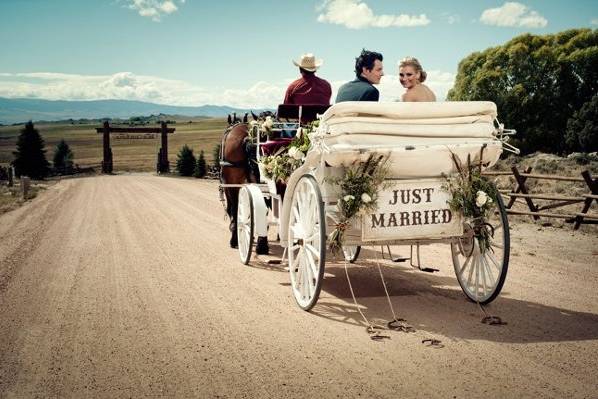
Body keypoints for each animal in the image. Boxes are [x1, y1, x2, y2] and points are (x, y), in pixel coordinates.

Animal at [220, 111, 270, 256]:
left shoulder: (228, 185)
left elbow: (232, 208)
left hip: (234, 184)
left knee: (235, 208)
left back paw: (235, 239)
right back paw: (262, 244)